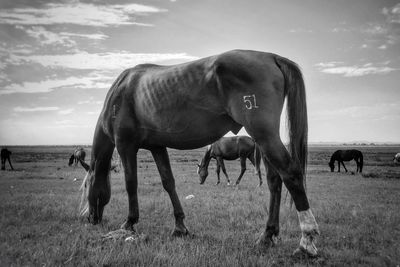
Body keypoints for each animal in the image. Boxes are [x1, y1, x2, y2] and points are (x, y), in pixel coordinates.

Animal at [77, 49, 318, 256]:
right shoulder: (157, 147)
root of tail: (271, 57)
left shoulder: (126, 146)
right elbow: (168, 182)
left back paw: (306, 241)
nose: (89, 218)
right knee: (274, 181)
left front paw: (129, 222)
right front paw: (180, 226)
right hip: (264, 140)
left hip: (263, 134)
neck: (120, 93)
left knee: (290, 174)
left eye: (87, 185)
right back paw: (267, 235)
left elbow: (131, 184)